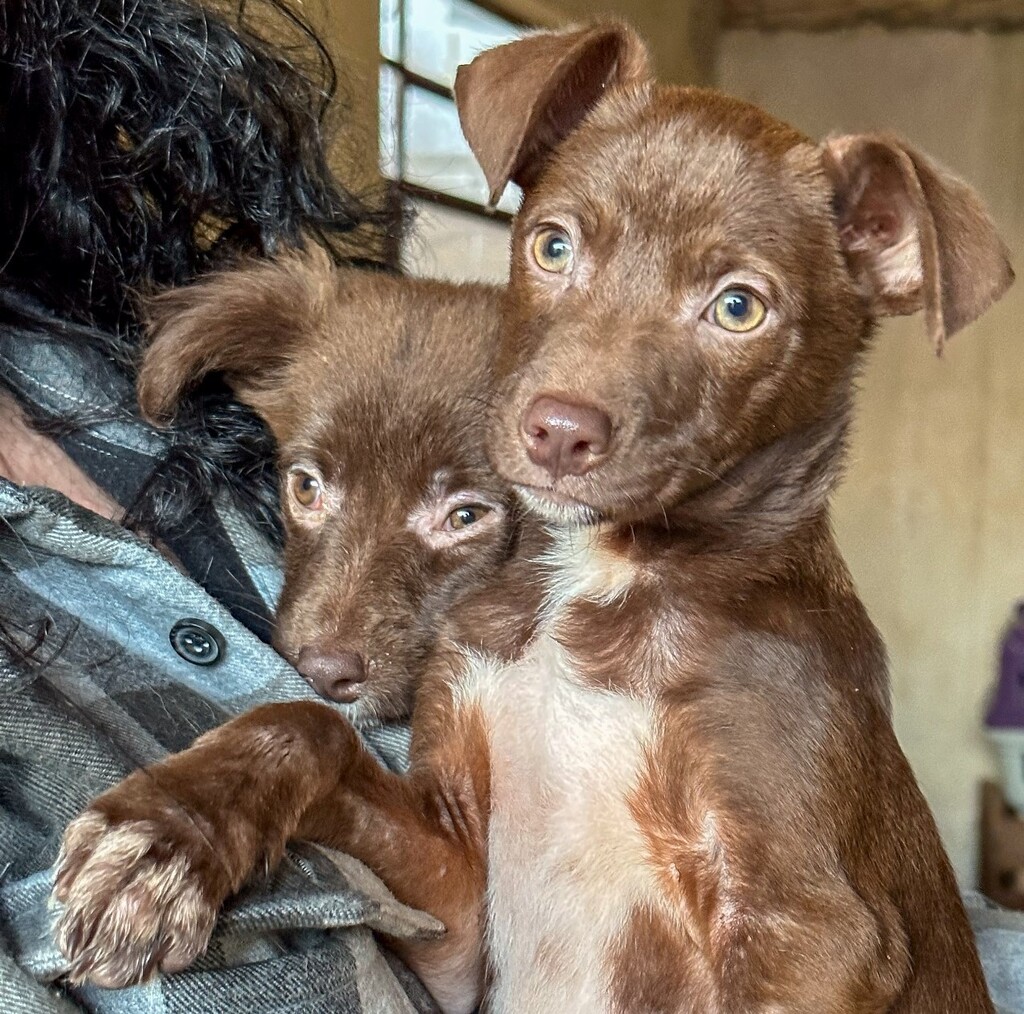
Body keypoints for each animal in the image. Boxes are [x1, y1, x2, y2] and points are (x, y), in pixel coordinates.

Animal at [54, 21, 1007, 1014]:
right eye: (553, 247)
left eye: (739, 307)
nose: (556, 431)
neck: (599, 586)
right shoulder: (460, 917)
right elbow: (310, 727)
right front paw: (160, 839)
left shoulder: (810, 932)